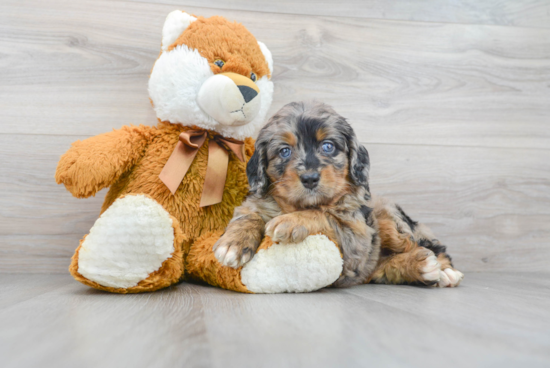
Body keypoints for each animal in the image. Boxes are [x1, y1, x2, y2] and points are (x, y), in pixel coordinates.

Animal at [213, 100, 464, 288]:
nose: (310, 178)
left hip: (392, 223)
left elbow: (323, 215)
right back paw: (421, 268)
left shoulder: (355, 234)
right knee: (381, 268)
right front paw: (232, 244)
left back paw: (444, 271)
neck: (296, 205)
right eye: (284, 151)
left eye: (328, 146)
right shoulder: (255, 204)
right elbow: (248, 216)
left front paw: (290, 221)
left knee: (426, 243)